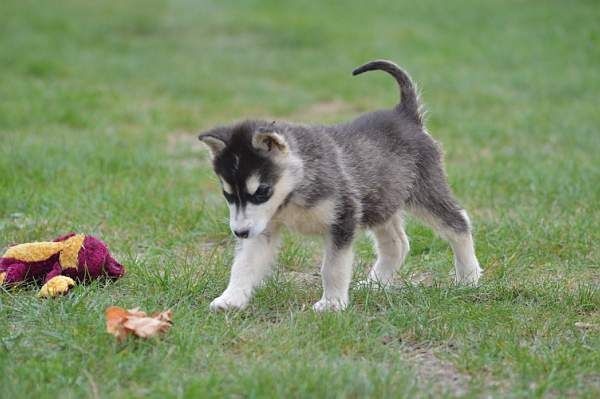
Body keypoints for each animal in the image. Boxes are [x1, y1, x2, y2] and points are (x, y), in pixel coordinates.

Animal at [199, 59, 480, 310]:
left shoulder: (343, 220)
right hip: (381, 201)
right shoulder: (263, 229)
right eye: (228, 195)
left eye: (262, 192)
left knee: (459, 223)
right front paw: (230, 299)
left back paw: (469, 277)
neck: (296, 187)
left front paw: (332, 304)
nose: (239, 232)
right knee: (397, 245)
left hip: (425, 192)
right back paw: (374, 284)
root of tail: (405, 115)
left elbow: (332, 267)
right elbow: (244, 265)